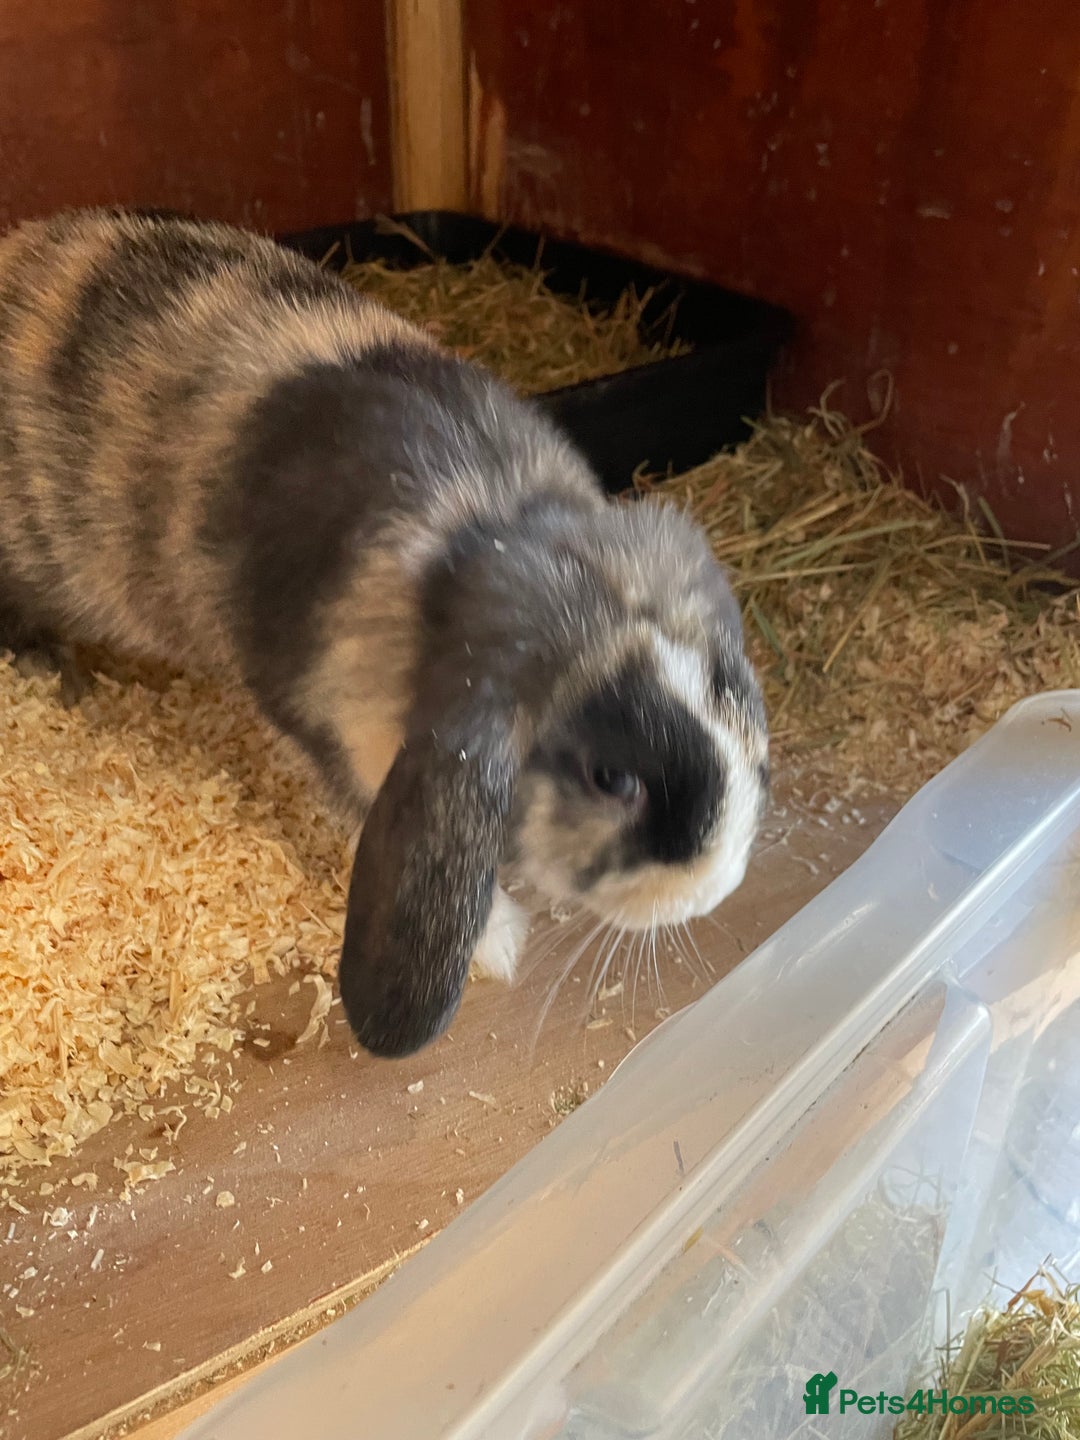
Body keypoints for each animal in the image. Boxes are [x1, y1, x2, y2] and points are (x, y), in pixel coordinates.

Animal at [0, 206, 769, 1058]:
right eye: (611, 779)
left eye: (734, 703)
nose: (712, 890)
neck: (487, 530)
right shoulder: (333, 726)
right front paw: (498, 944)